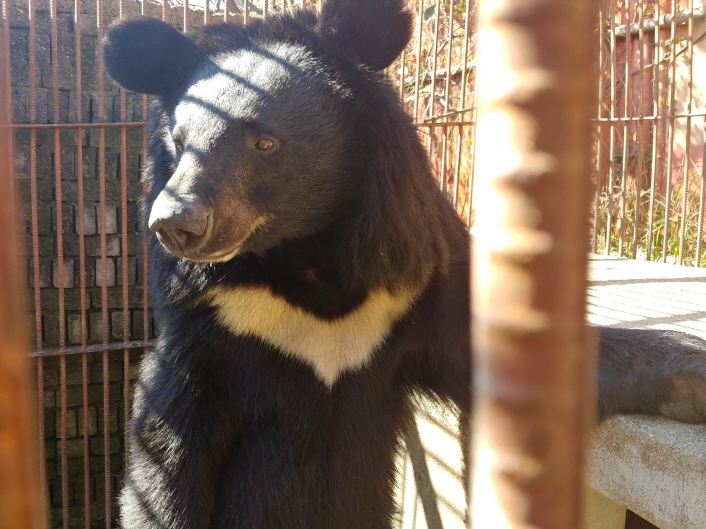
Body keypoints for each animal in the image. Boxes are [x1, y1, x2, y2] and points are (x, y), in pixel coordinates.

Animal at [102, 1, 704, 524]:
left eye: (264, 142)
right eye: (179, 141)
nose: (175, 222)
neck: (308, 261)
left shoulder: (413, 292)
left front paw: (692, 375)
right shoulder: (212, 325)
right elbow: (168, 456)